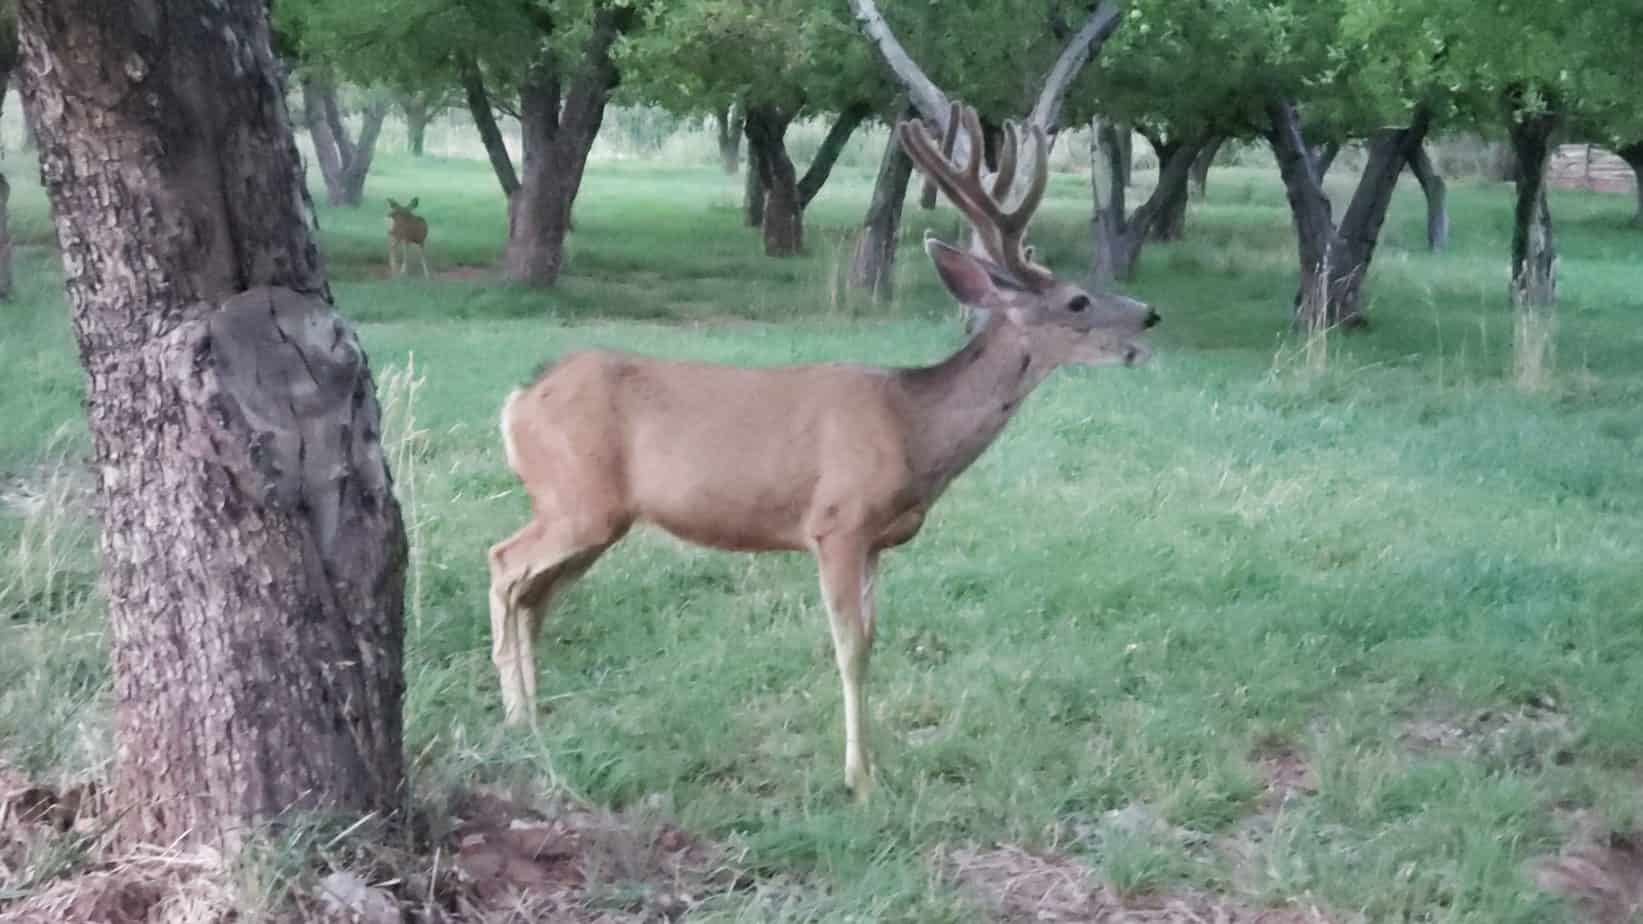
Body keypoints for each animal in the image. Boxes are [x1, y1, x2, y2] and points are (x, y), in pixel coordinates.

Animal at [483, 102, 1156, 792]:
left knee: (534, 595)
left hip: (597, 517)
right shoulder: (837, 522)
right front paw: (860, 777)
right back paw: (516, 715)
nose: (1149, 314)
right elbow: (850, 648)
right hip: (578, 497)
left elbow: (874, 640)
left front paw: (876, 760)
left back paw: (532, 716)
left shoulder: (878, 541)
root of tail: (519, 399)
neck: (913, 426)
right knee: (503, 563)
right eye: (1077, 300)